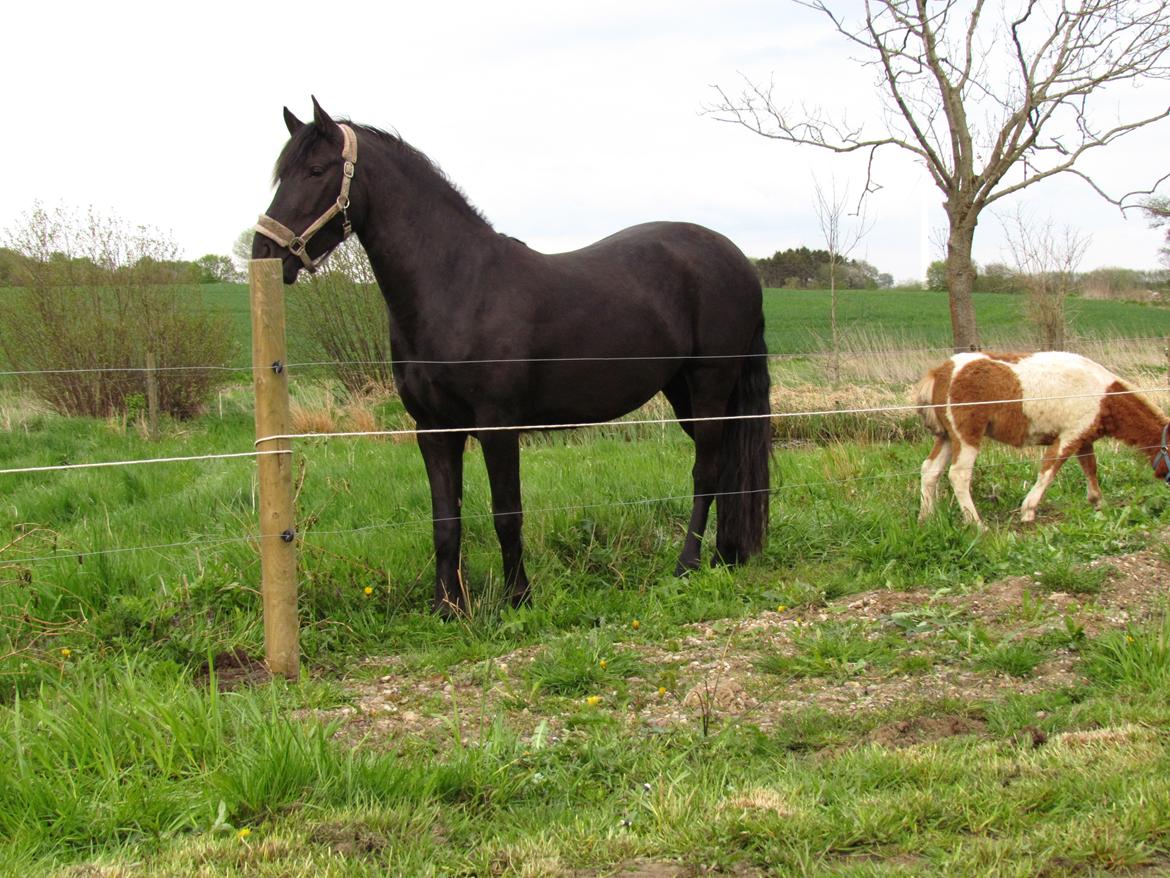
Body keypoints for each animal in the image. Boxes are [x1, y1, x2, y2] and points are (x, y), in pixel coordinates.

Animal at [251, 97, 772, 618]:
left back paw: (687, 564)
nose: (264, 250)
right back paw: (725, 555)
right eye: (282, 174)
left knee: (706, 471)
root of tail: (737, 259)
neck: (459, 286)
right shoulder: (434, 430)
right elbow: (445, 520)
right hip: (683, 392)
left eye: (316, 170)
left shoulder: (497, 425)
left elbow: (507, 513)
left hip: (709, 384)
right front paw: (448, 607)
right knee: (726, 467)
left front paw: (518, 598)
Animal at [912, 353, 1170, 529]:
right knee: (958, 474)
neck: (1103, 396)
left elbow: (1090, 468)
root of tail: (941, 372)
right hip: (966, 437)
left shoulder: (1083, 439)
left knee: (930, 470)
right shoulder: (1069, 437)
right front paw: (1028, 511)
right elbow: (1049, 470)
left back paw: (926, 518)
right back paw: (977, 525)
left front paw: (1098, 503)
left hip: (946, 436)